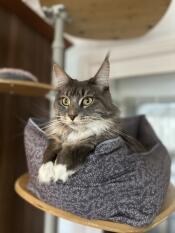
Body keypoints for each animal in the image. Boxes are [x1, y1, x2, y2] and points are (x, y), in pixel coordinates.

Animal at [38, 55, 142, 183]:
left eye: (87, 101)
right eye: (65, 101)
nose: (71, 116)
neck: (76, 133)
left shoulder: (108, 136)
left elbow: (82, 143)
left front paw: (60, 168)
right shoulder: (56, 136)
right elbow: (52, 147)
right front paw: (45, 171)